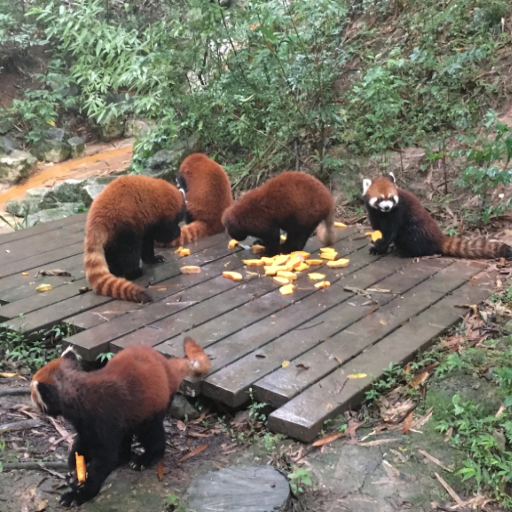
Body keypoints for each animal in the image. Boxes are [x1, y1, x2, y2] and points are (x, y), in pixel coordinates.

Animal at [30, 338, 210, 506]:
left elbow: (105, 459)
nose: (34, 405)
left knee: (151, 433)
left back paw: (146, 458)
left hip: (154, 406)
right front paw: (74, 470)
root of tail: (167, 366)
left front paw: (79, 494)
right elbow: (81, 446)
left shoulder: (102, 418)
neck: (80, 395)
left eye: (33, 394)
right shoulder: (86, 424)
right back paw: (122, 458)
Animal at [84, 176, 186, 304]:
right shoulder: (161, 216)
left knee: (112, 254)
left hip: (112, 237)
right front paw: (177, 231)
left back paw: (115, 271)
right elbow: (164, 234)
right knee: (129, 252)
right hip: (125, 225)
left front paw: (153, 259)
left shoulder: (147, 224)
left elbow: (147, 244)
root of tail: (96, 217)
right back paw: (134, 273)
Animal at [360, 173, 512, 260]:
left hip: (416, 230)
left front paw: (378, 248)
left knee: (414, 240)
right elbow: (378, 230)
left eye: (391, 198)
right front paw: (378, 246)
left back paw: (407, 252)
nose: (387, 207)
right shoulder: (374, 213)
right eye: (380, 199)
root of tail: (438, 236)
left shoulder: (397, 213)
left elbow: (389, 233)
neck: (383, 213)